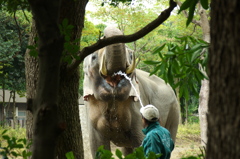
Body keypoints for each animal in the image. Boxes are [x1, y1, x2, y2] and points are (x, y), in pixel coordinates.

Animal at [83, 26, 179, 157]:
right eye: (93, 57)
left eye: (131, 56)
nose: (102, 36)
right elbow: (98, 147)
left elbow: (140, 143)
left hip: (174, 111)